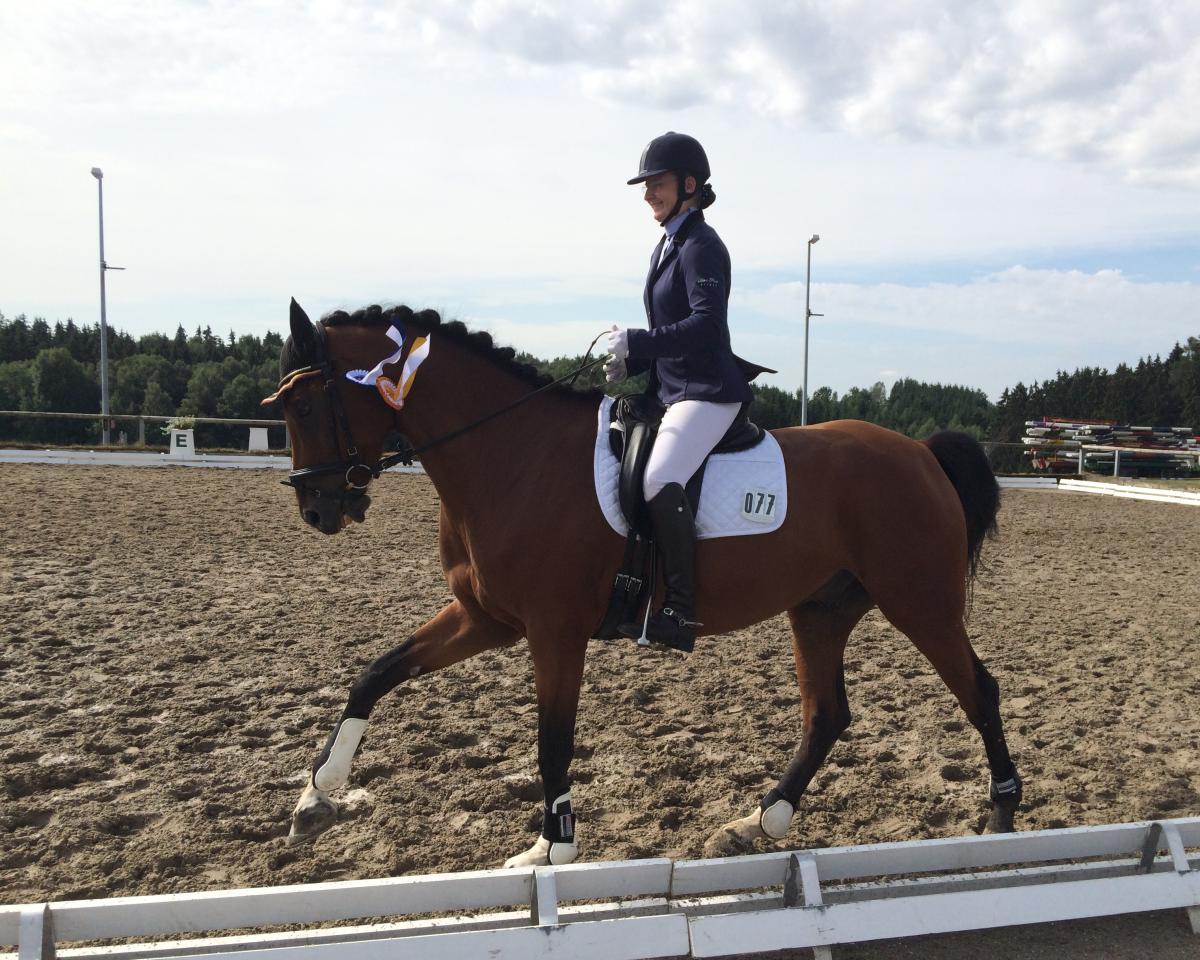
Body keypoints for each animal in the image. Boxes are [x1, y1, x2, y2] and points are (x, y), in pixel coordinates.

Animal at [268, 298, 1022, 868]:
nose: (317, 510)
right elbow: (376, 673)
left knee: (979, 691)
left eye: (305, 406)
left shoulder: (554, 630)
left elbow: (553, 738)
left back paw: (1003, 816)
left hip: (919, 602)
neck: (513, 456)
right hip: (820, 609)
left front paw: (551, 848)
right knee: (826, 714)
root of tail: (920, 452)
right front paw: (316, 798)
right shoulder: (485, 618)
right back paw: (757, 823)